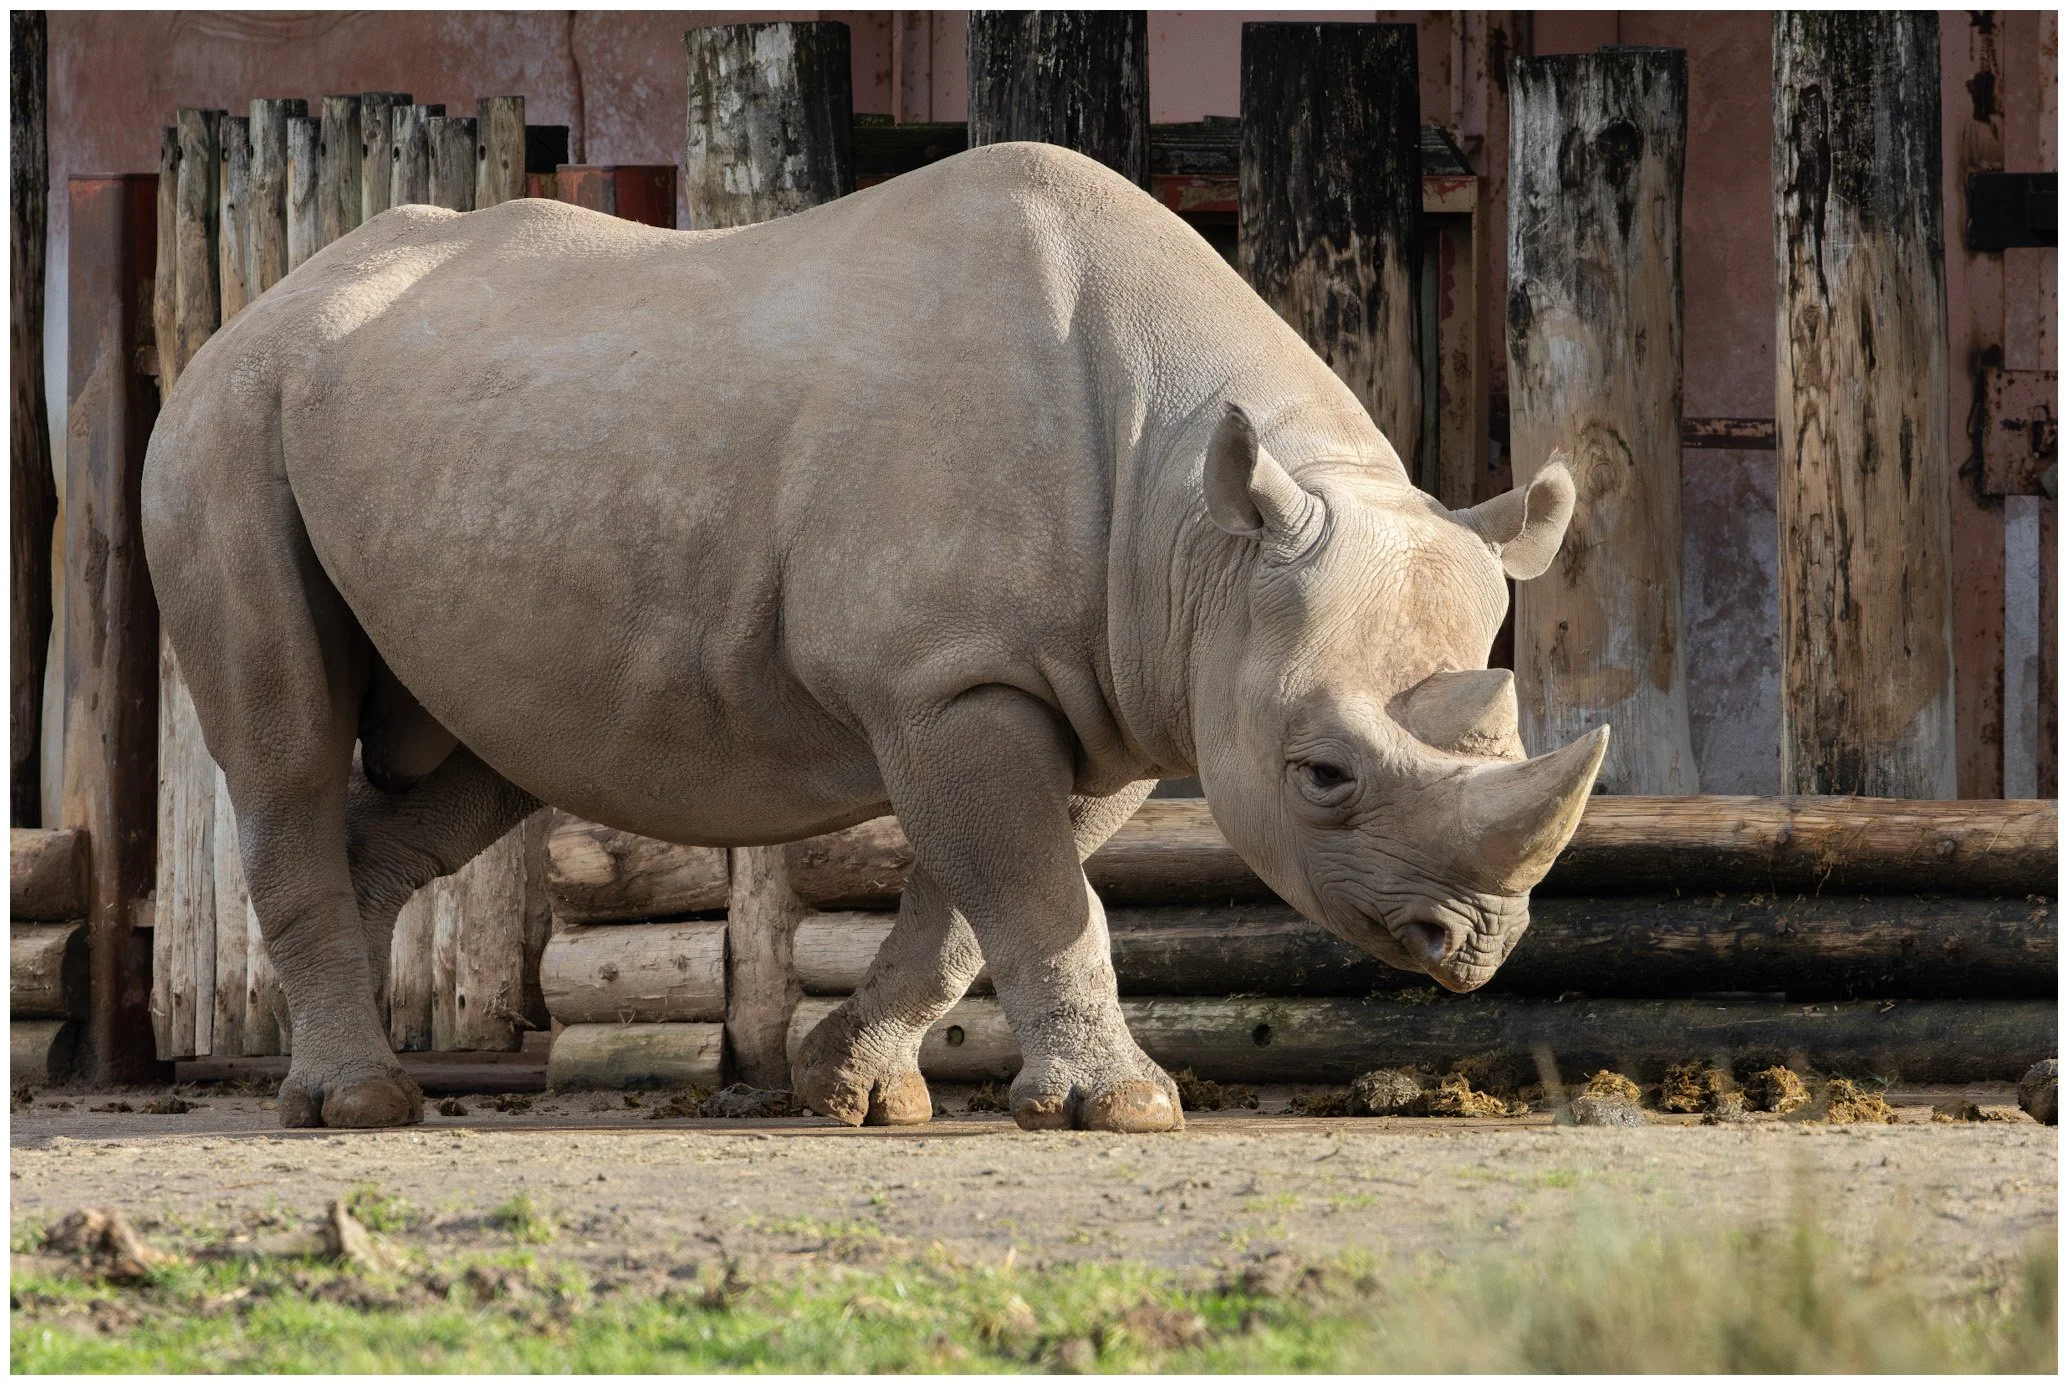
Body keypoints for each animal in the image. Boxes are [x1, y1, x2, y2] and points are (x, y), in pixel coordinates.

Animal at [142, 142, 1605, 1133]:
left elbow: (980, 900)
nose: (1474, 943)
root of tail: (257, 308)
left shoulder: (1105, 690)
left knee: (475, 761)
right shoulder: (952, 678)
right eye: (1320, 776)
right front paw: (1125, 1108)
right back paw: (364, 1103)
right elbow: (1033, 892)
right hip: (224, 425)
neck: (1198, 525)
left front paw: (851, 1089)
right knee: (283, 742)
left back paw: (329, 1078)